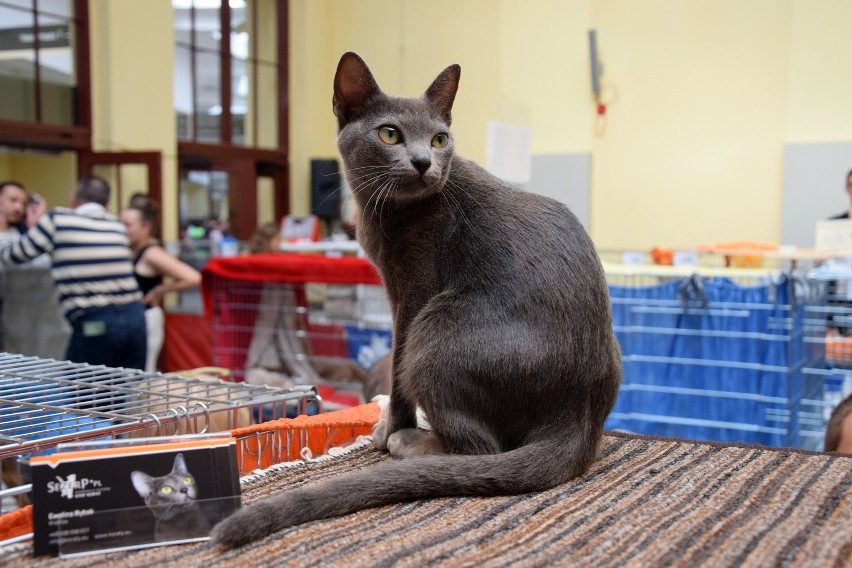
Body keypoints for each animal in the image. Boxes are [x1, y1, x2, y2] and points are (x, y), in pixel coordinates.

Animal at [210, 52, 624, 544]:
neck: (383, 210)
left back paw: (412, 444)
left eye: (440, 138)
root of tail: (578, 417)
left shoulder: (411, 291)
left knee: (479, 448)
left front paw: (389, 427)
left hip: (436, 328)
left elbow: (395, 370)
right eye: (390, 133)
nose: (425, 160)